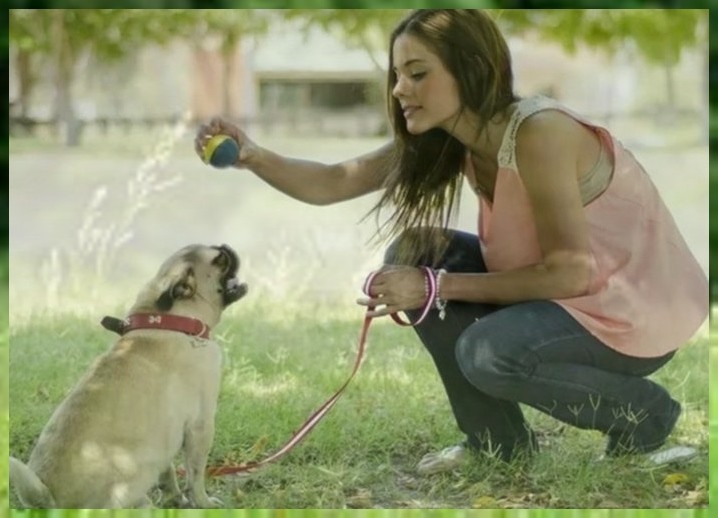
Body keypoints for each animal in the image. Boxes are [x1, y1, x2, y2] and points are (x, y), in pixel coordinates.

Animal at [7, 246, 250, 510]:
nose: (227, 247)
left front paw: (176, 498)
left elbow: (169, 474)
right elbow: (195, 475)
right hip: (135, 471)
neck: (172, 320)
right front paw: (203, 503)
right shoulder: (201, 425)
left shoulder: (164, 437)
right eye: (220, 260)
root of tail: (49, 500)